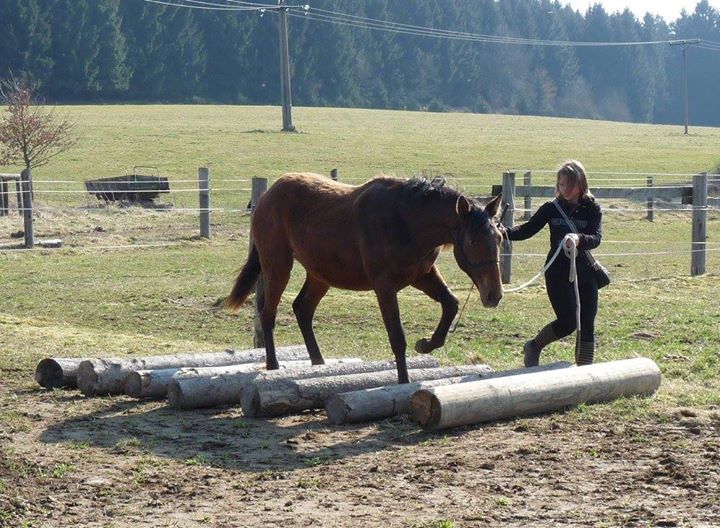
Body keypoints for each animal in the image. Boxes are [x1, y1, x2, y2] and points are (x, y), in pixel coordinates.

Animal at [228, 173, 504, 384]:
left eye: (499, 237)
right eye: (473, 241)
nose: (494, 295)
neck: (406, 220)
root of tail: (267, 196)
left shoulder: (422, 276)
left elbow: (451, 304)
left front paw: (426, 344)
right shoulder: (385, 286)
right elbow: (397, 336)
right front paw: (403, 381)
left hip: (320, 275)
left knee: (302, 309)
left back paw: (319, 363)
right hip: (278, 267)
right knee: (268, 313)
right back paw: (273, 365)